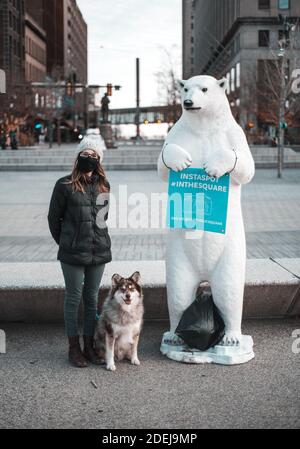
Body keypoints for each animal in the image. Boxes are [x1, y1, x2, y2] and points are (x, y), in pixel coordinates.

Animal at [158, 75, 254, 350]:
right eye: (186, 89)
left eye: (204, 89)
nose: (188, 103)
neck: (203, 126)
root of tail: (204, 275)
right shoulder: (177, 132)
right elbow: (163, 163)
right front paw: (180, 162)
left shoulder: (234, 134)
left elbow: (246, 166)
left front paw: (214, 166)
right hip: (178, 258)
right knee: (178, 294)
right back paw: (173, 335)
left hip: (231, 255)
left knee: (228, 293)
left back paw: (232, 337)